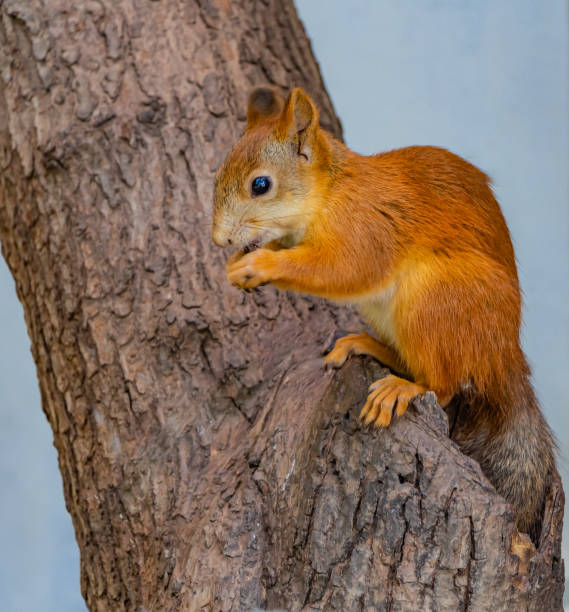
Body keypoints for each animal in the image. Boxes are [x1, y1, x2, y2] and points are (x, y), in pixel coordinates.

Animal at [211, 83, 552, 544]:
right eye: (217, 175)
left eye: (260, 184)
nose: (219, 239)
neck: (329, 193)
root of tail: (503, 356)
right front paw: (239, 267)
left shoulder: (367, 229)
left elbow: (342, 269)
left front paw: (260, 265)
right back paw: (365, 345)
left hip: (435, 299)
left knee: (442, 385)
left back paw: (402, 389)